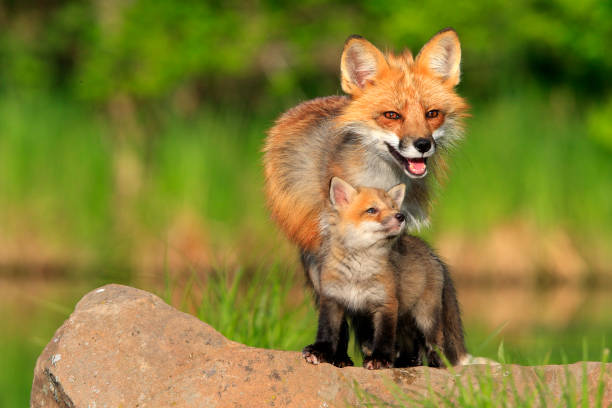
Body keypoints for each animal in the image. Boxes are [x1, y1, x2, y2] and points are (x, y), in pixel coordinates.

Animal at [302, 177, 468, 368]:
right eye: (371, 210)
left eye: (393, 207)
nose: (401, 216)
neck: (358, 271)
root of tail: (431, 252)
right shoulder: (332, 300)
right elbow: (328, 332)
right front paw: (321, 352)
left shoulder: (386, 303)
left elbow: (384, 337)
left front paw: (379, 358)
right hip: (404, 320)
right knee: (412, 342)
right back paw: (408, 362)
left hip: (425, 317)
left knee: (434, 342)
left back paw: (436, 364)